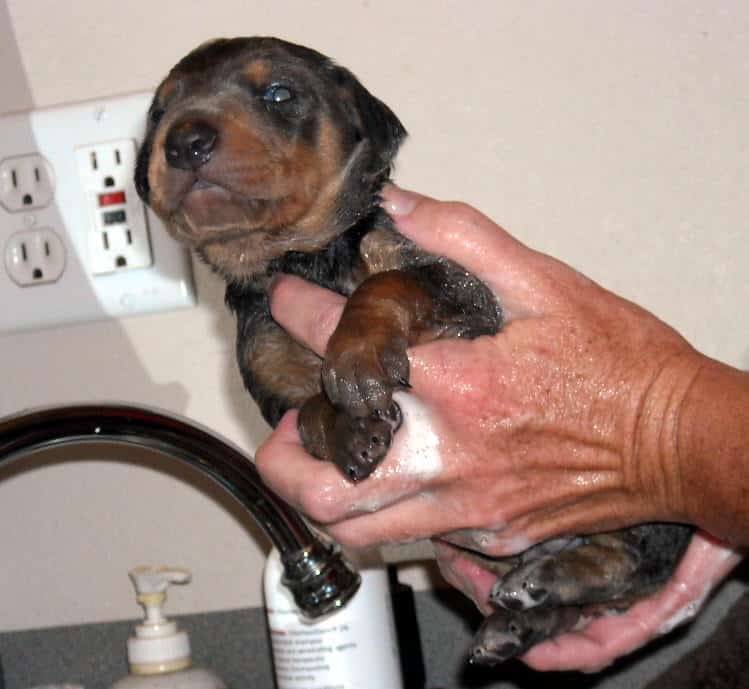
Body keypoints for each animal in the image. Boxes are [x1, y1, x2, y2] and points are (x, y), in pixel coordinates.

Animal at [134, 36, 688, 660]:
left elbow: (385, 284)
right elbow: (309, 412)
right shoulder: (270, 370)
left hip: (629, 510)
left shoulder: (465, 293)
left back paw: (547, 580)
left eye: (278, 94)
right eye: (159, 111)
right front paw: (352, 430)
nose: (186, 141)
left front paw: (355, 361)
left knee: (632, 561)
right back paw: (517, 622)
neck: (303, 260)